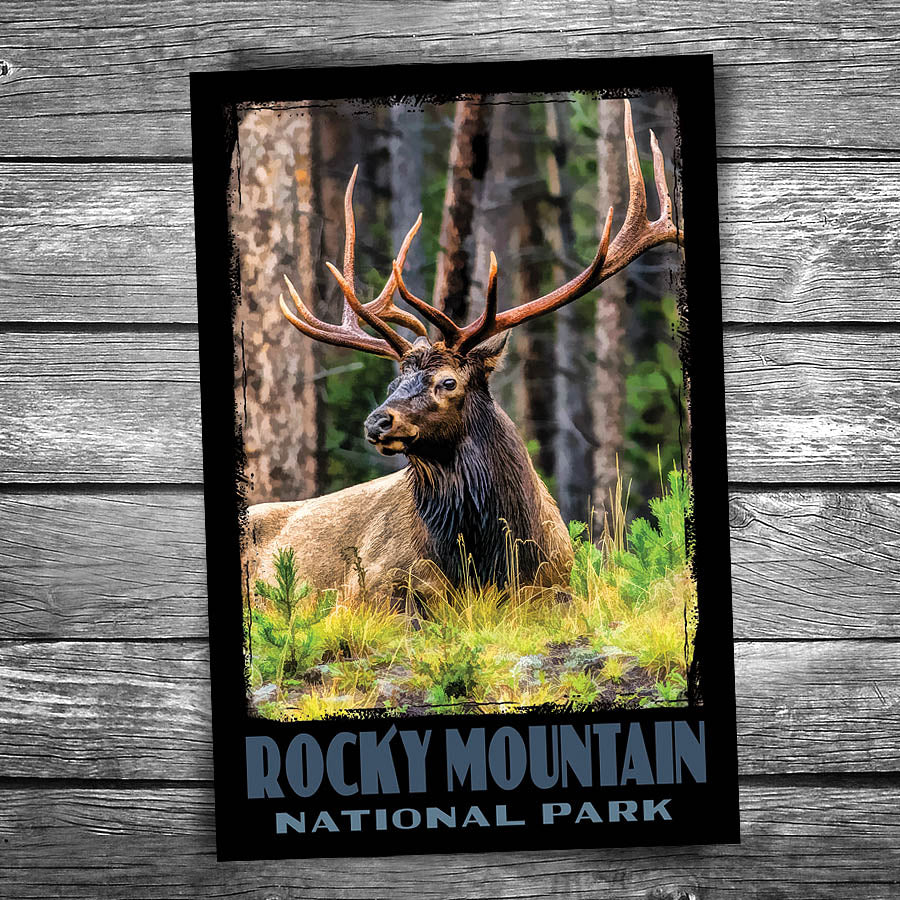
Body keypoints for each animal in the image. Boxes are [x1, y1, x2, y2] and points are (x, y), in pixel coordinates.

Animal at [244, 100, 683, 605]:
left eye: (447, 382)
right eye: (393, 382)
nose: (377, 421)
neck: (489, 560)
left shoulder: (557, 585)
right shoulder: (367, 587)